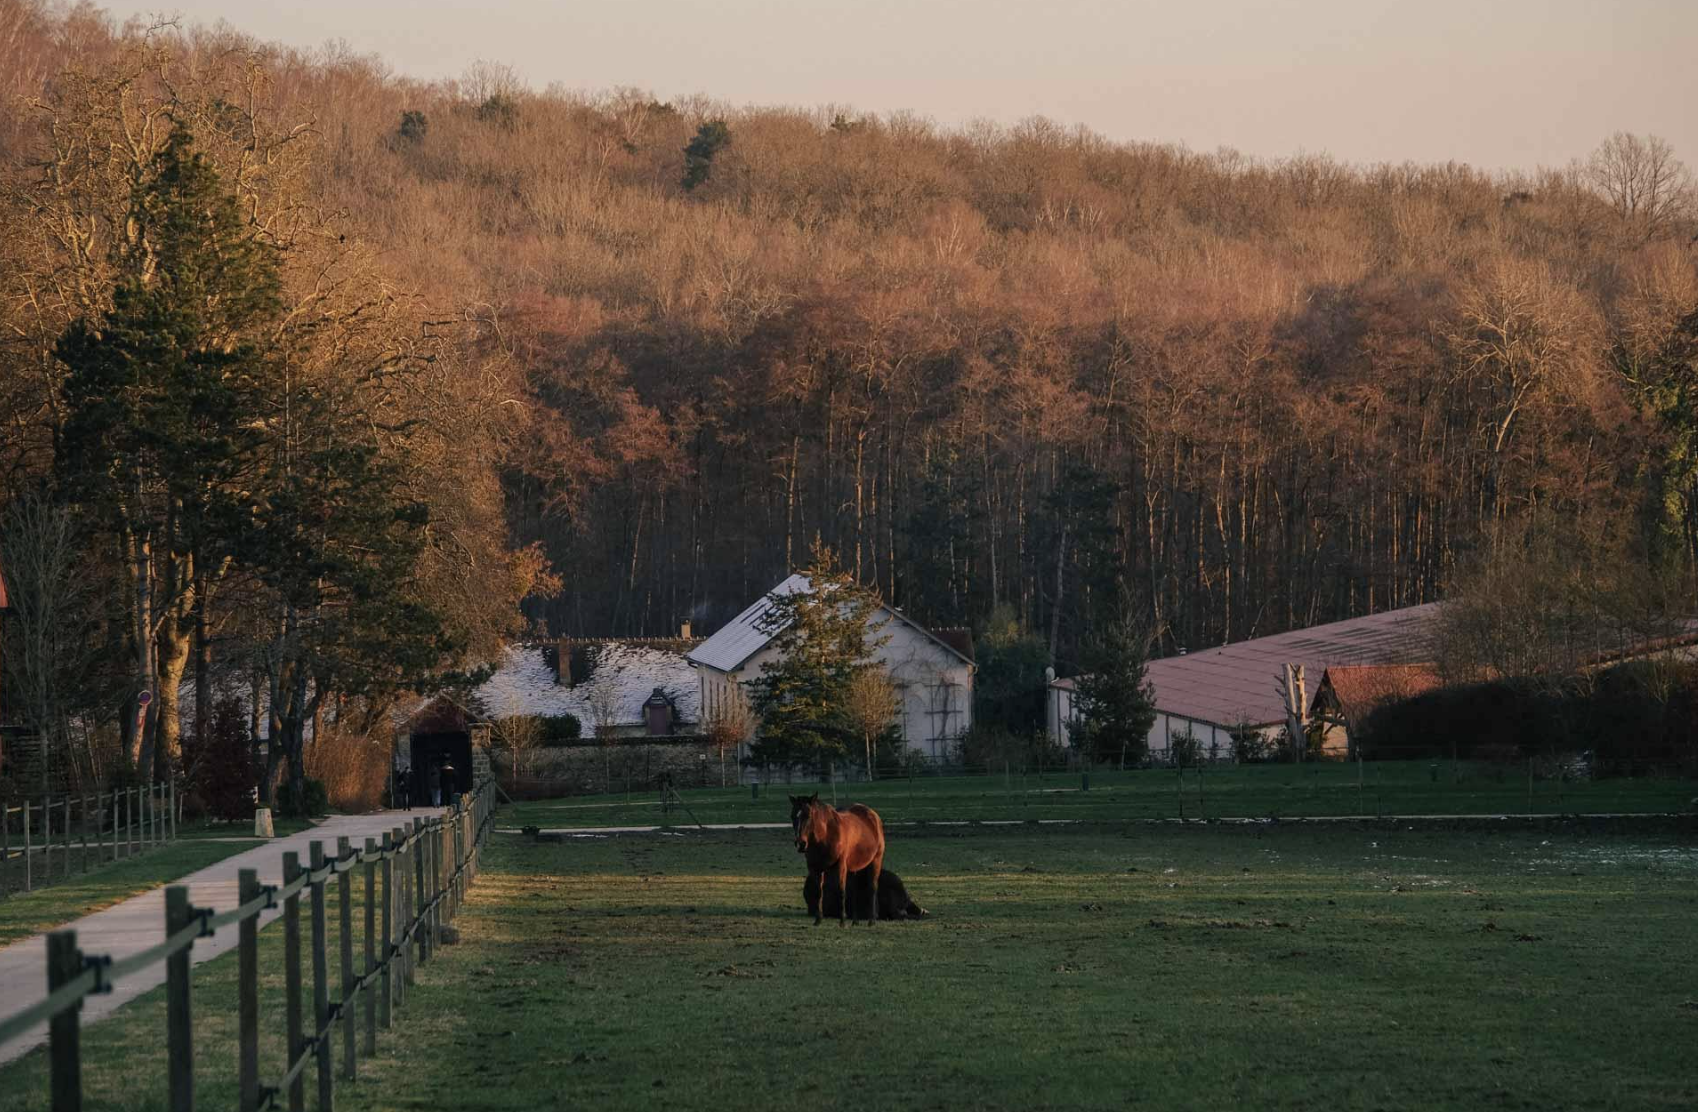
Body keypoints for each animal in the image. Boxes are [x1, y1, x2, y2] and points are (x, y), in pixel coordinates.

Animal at [789, 793, 885, 926]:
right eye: (792, 816)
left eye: (808, 815)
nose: (800, 844)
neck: (825, 836)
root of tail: (873, 815)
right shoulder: (815, 868)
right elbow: (818, 892)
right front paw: (818, 920)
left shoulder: (840, 866)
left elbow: (841, 891)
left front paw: (842, 922)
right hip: (854, 867)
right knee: (855, 890)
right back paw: (855, 921)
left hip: (876, 861)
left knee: (872, 888)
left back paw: (872, 921)